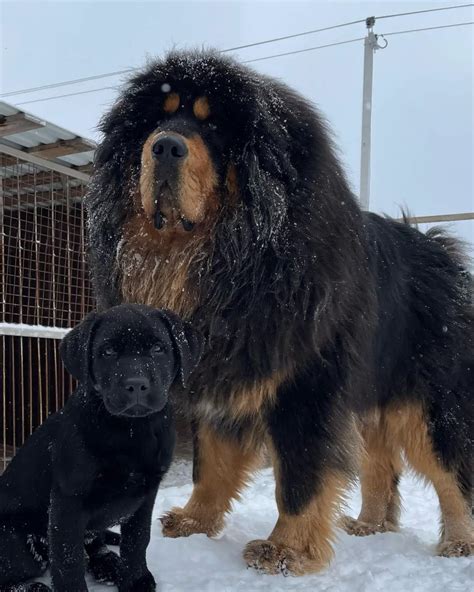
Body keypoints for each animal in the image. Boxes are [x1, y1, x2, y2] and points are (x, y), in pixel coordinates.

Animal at [0, 306, 202, 592]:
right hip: (16, 541)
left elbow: (137, 540)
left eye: (157, 349)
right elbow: (68, 558)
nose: (136, 384)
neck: (131, 431)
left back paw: (109, 566)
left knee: (94, 548)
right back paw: (35, 587)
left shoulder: (145, 496)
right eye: (107, 352)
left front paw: (135, 580)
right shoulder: (68, 501)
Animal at [86, 49, 474, 572]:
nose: (165, 146)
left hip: (429, 405)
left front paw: (287, 550)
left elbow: (300, 475)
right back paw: (370, 525)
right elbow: (210, 461)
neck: (225, 259)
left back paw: (459, 542)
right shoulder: (221, 373)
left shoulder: (305, 386)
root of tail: (446, 258)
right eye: (157, 120)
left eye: (212, 127)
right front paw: (195, 520)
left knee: (453, 473)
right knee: (380, 465)